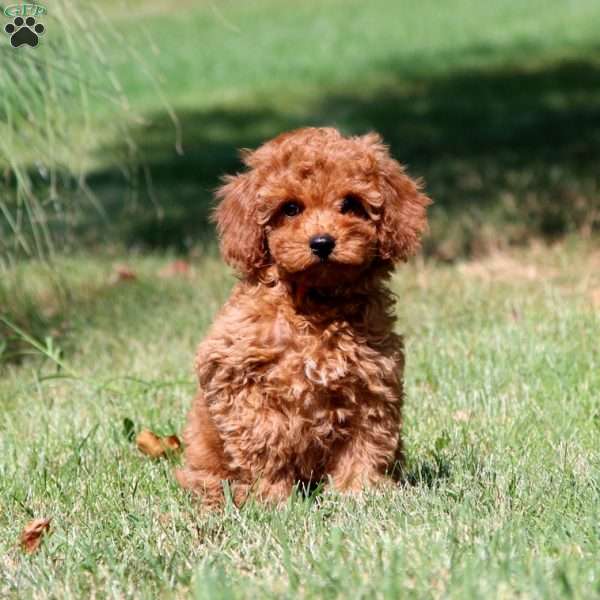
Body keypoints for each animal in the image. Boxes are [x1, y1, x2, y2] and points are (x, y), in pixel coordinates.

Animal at [176, 127, 428, 506]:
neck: (315, 304)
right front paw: (273, 499)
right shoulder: (236, 377)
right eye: (290, 208)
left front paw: (358, 494)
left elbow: (366, 441)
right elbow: (265, 439)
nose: (322, 243)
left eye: (350, 204)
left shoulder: (372, 381)